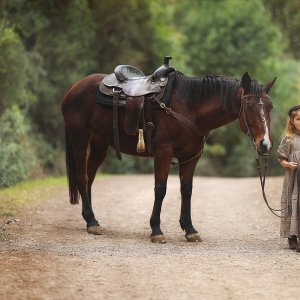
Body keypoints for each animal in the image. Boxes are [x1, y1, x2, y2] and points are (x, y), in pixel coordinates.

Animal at [61, 66, 276, 244]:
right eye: (248, 106)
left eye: (270, 106)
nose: (264, 144)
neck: (190, 107)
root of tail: (73, 89)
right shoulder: (163, 152)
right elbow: (160, 189)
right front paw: (156, 230)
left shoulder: (191, 156)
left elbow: (186, 190)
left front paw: (190, 229)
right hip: (79, 137)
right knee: (82, 177)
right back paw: (91, 221)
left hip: (99, 144)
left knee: (89, 178)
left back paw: (91, 219)